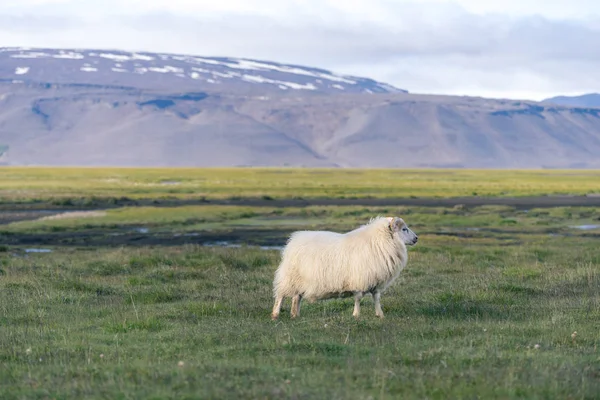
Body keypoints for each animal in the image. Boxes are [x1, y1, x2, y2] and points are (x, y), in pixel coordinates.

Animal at [270, 216, 418, 318]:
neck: (379, 242)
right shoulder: (359, 280)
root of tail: (293, 240)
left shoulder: (375, 281)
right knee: (281, 296)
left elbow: (376, 298)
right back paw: (276, 314)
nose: (416, 238)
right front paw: (356, 315)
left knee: (296, 297)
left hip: (299, 280)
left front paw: (380, 315)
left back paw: (295, 315)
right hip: (289, 277)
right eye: (404, 229)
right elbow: (358, 298)